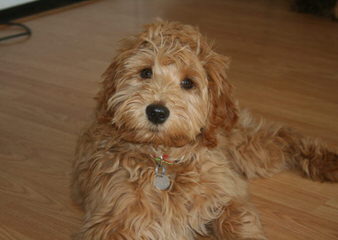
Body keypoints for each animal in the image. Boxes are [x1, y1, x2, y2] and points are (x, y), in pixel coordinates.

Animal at [72, 21, 338, 240]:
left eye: (188, 83)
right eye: (145, 72)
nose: (157, 112)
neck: (164, 162)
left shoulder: (226, 194)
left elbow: (236, 222)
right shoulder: (114, 218)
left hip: (242, 147)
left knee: (283, 135)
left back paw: (326, 161)